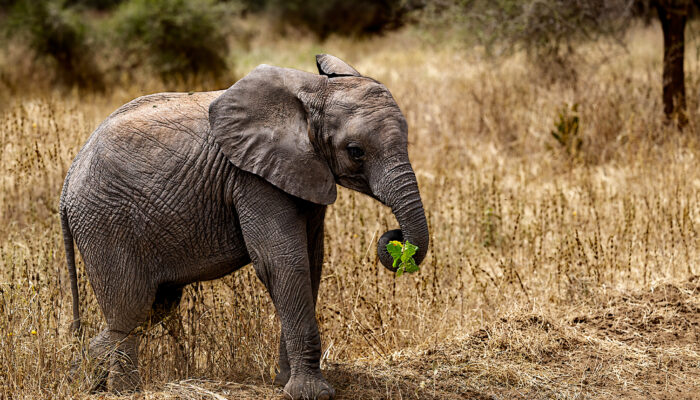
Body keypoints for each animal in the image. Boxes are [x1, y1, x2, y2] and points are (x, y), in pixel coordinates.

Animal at [61, 54, 426, 400]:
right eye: (355, 152)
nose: (395, 240)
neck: (312, 93)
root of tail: (68, 183)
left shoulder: (303, 172)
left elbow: (310, 263)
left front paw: (282, 383)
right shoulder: (252, 179)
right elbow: (283, 263)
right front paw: (311, 394)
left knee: (154, 307)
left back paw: (82, 378)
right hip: (105, 223)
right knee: (131, 310)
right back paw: (125, 391)